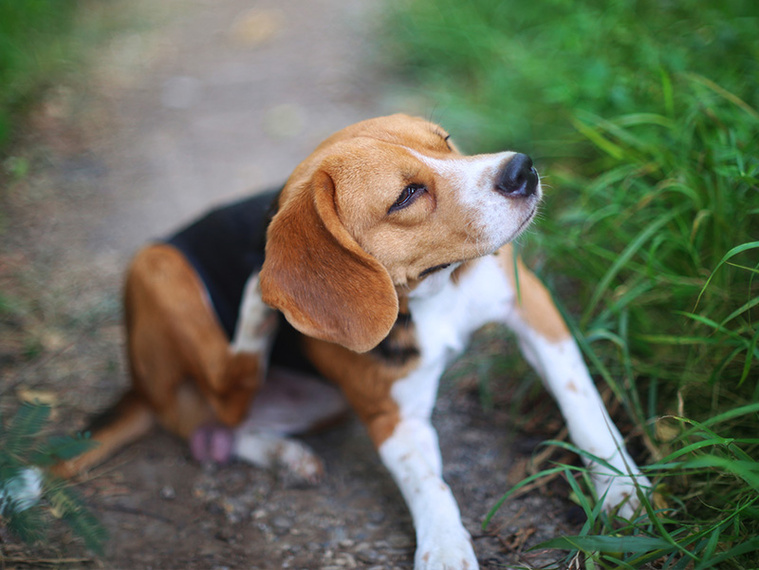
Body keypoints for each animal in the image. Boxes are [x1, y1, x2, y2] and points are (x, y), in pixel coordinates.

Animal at [58, 114, 652, 564]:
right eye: (407, 194)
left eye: (445, 141)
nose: (521, 168)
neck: (432, 293)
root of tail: (141, 391)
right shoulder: (392, 418)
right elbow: (430, 485)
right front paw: (444, 548)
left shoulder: (533, 308)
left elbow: (583, 406)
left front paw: (621, 487)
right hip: (156, 265)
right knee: (224, 395)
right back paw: (256, 312)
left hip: (320, 402)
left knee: (221, 427)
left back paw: (283, 453)